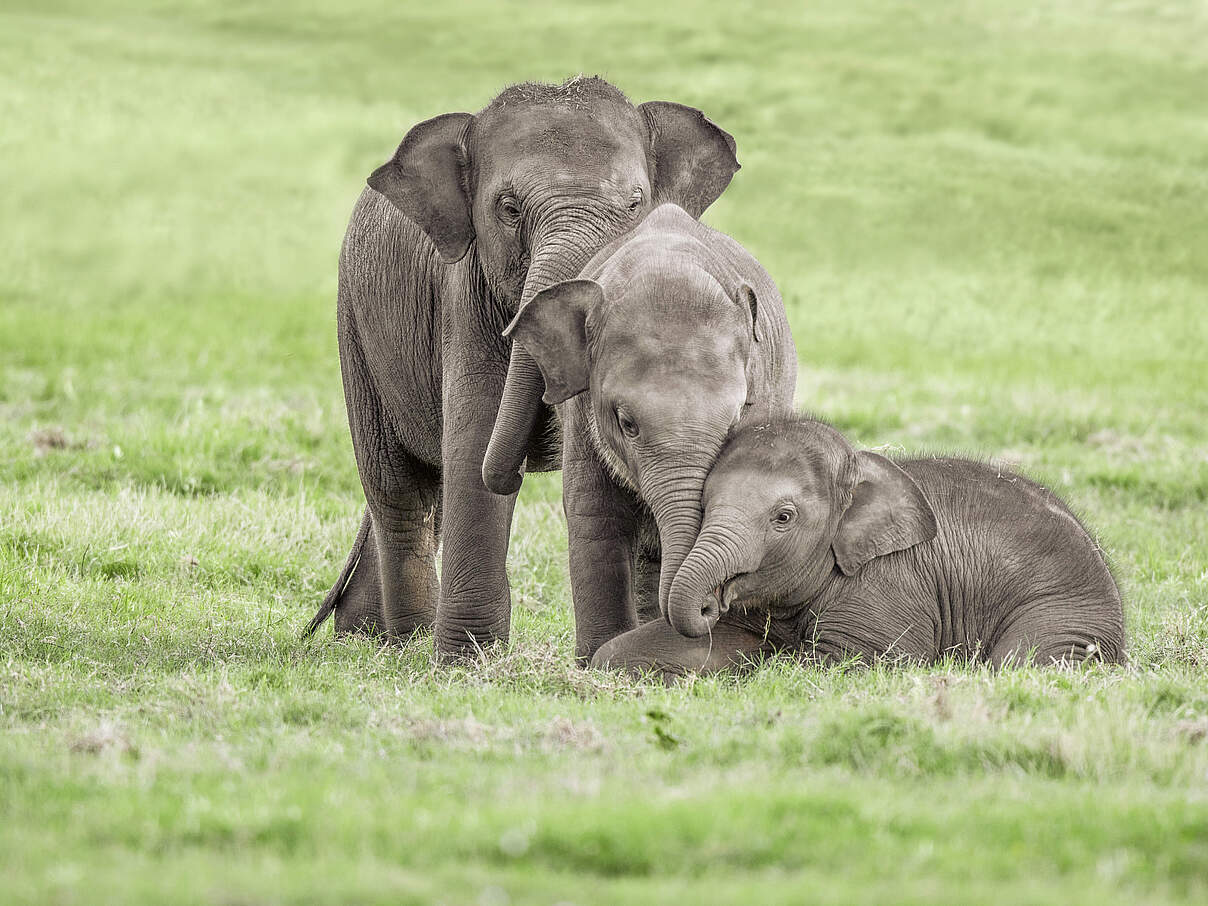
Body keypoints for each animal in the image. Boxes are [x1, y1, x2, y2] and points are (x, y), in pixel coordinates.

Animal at [302, 77, 739, 661]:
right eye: (508, 208)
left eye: (635, 203)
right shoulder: (466, 297)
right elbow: (473, 446)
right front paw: (466, 661)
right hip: (355, 330)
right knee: (400, 493)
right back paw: (406, 643)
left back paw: (367, 634)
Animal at [504, 201, 797, 661]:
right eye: (627, 424)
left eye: (735, 419)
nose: (711, 607)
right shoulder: (582, 416)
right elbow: (594, 511)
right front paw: (595, 658)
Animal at [589, 415, 1125, 676]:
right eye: (704, 502)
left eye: (783, 518)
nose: (709, 602)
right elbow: (617, 656)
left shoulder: (887, 585)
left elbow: (857, 663)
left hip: (1068, 613)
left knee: (1027, 662)